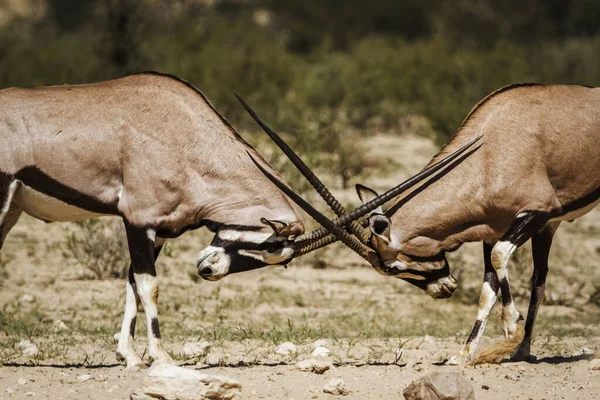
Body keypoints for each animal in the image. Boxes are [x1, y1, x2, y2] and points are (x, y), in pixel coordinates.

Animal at [243, 84, 600, 366]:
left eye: (393, 268)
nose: (445, 289)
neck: (488, 151)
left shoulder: (536, 212)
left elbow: (499, 259)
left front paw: (511, 328)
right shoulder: (496, 228)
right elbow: (488, 286)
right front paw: (465, 354)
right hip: (547, 228)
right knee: (540, 278)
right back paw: (523, 351)